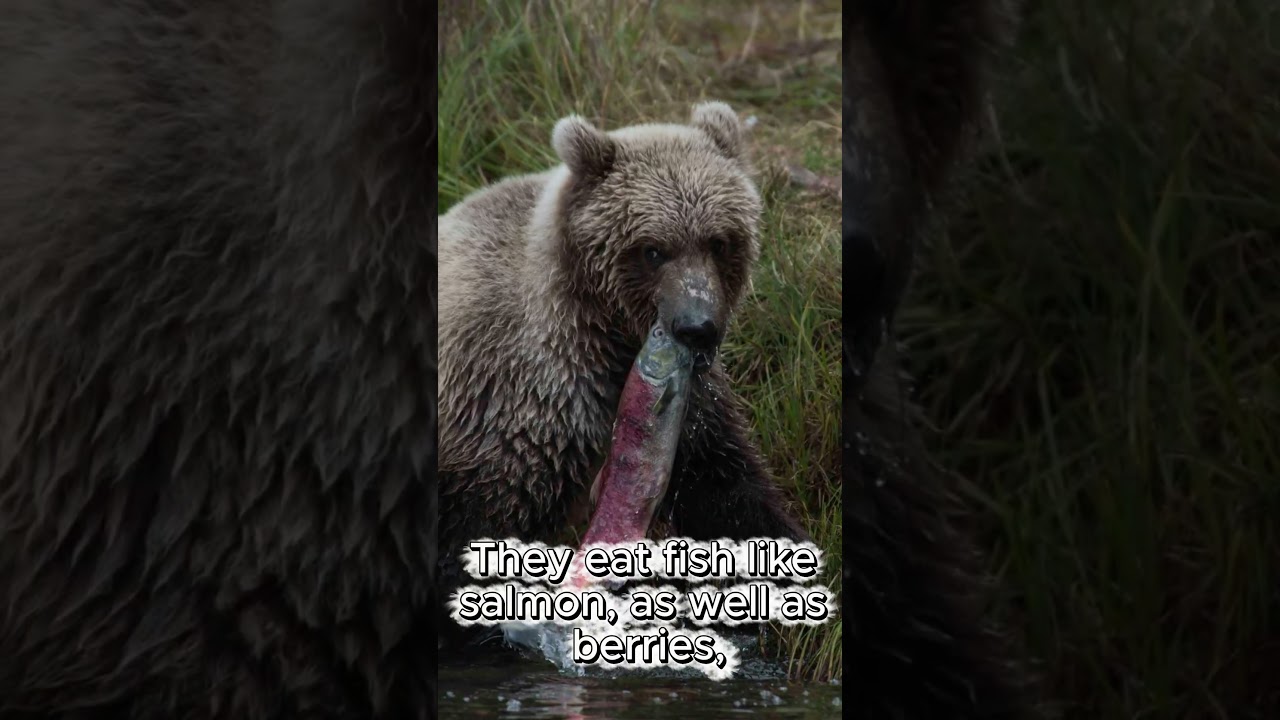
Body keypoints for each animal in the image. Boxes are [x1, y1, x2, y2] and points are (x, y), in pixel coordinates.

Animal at [436, 102, 808, 644]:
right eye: (653, 249)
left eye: (719, 241)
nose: (696, 327)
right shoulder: (508, 409)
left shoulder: (689, 410)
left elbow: (727, 487)